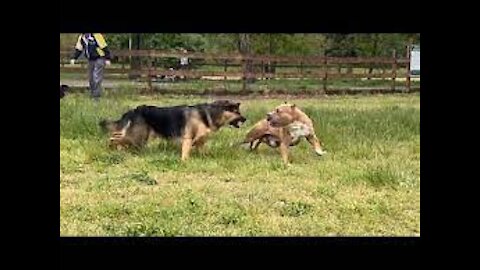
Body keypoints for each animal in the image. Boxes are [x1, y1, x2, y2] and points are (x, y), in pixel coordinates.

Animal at [99, 100, 246, 160]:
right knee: (114, 138)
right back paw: (112, 148)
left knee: (117, 136)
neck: (209, 113)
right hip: (136, 137)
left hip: (138, 137)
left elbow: (204, 152)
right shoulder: (188, 139)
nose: (245, 119)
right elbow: (185, 154)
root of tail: (134, 110)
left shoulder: (200, 142)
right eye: (237, 112)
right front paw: (185, 162)